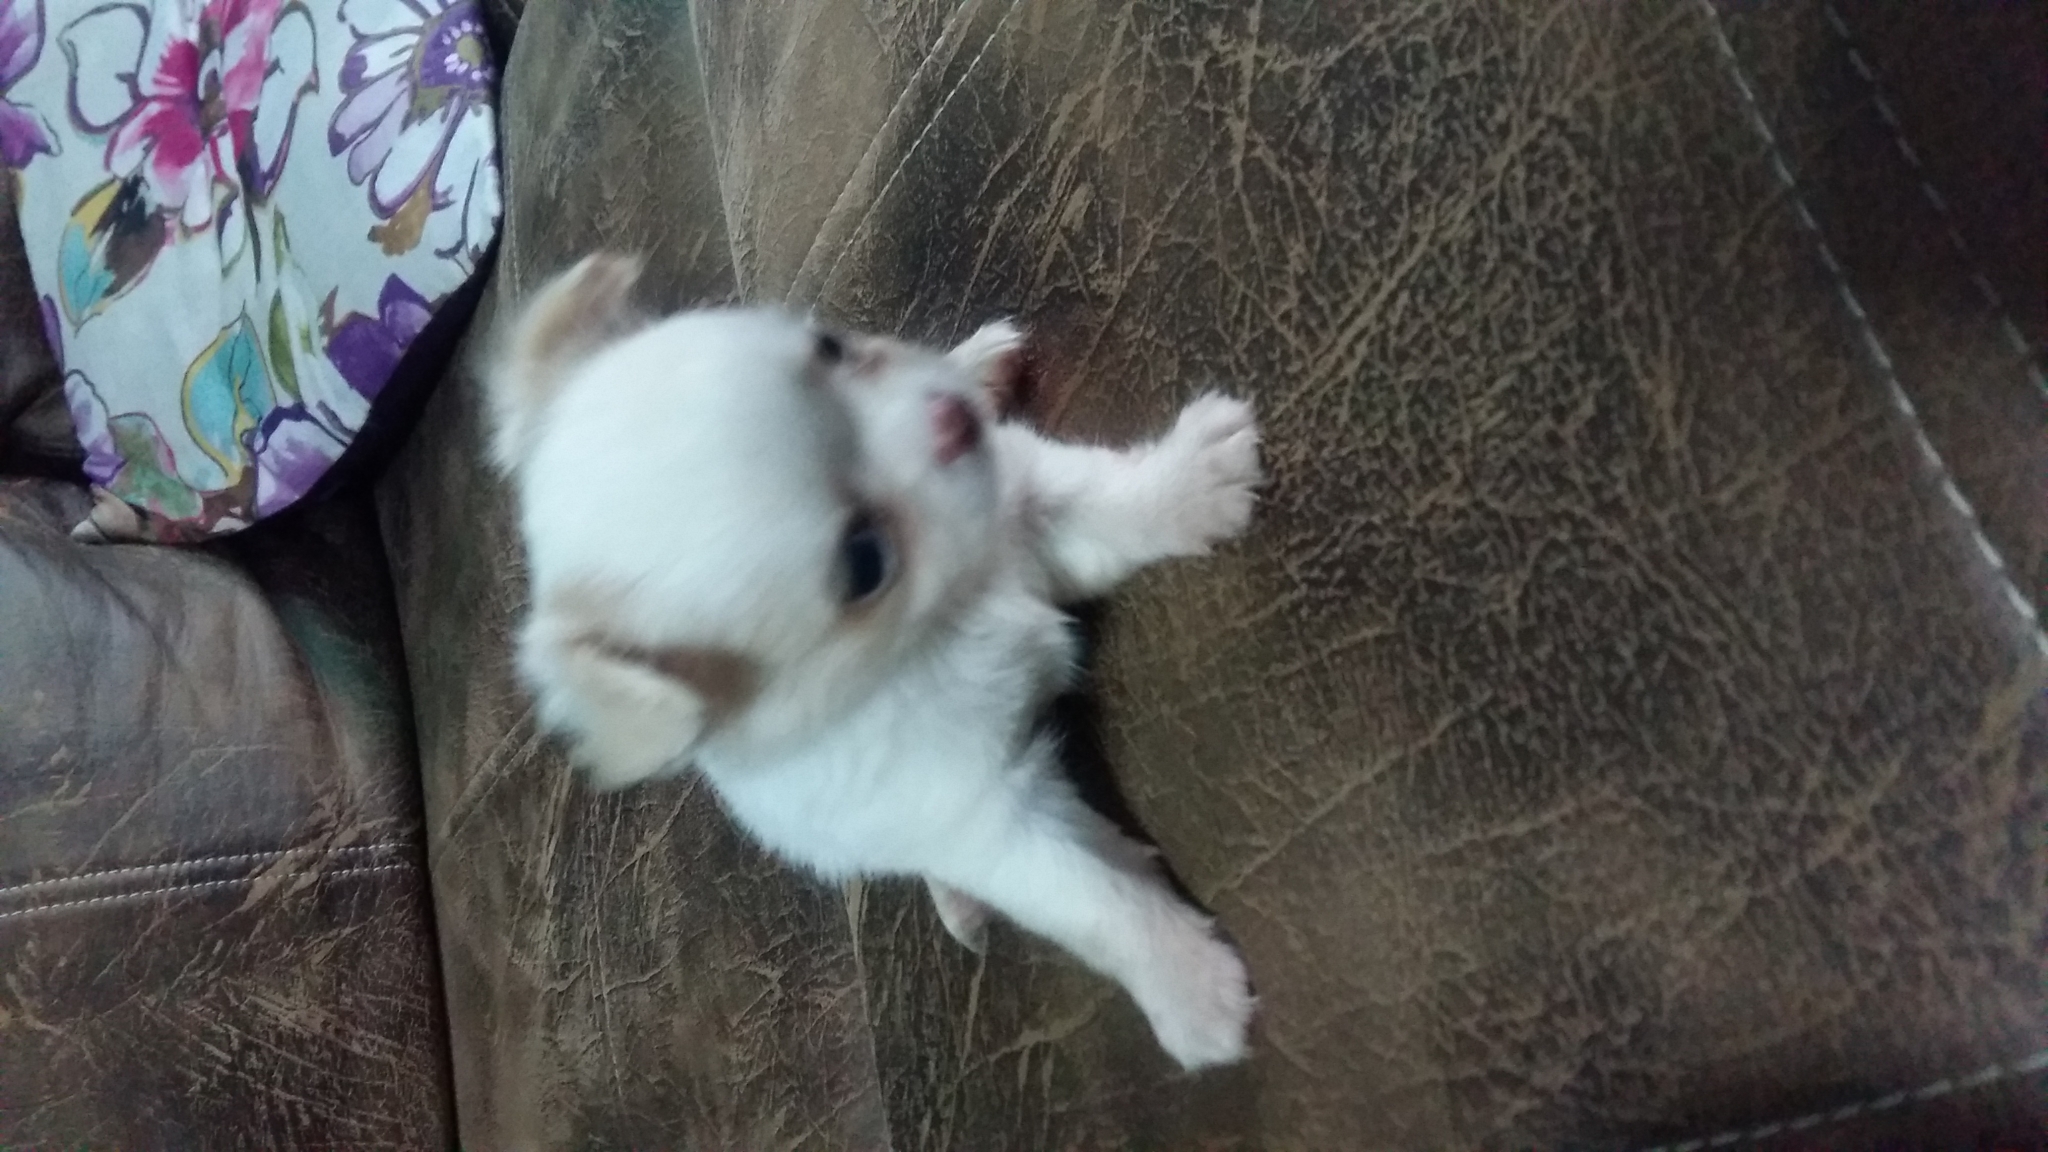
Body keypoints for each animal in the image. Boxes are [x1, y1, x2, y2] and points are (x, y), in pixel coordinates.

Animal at [486, 253, 1261, 1070]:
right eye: (864, 561)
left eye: (831, 347)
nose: (955, 419)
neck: (940, 617)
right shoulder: (987, 817)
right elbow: (1093, 899)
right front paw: (1188, 986)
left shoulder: (1022, 496)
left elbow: (1108, 500)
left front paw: (1190, 483)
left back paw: (974, 361)